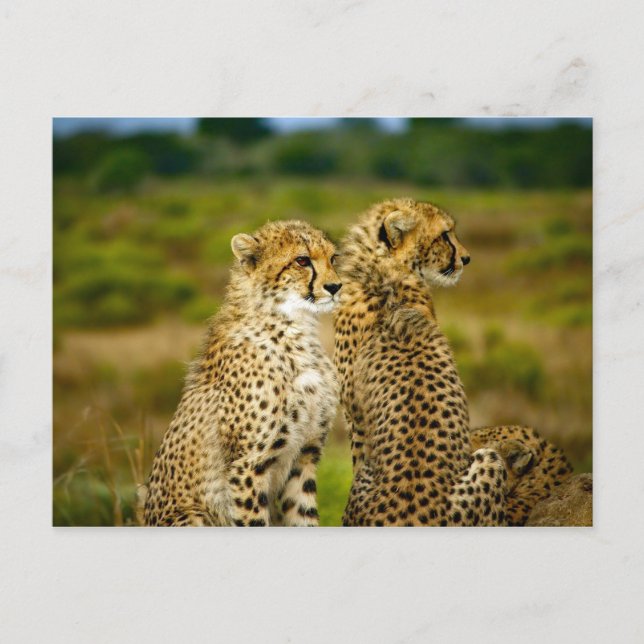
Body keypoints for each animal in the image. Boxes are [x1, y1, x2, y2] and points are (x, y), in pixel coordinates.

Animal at [140, 220, 342, 526]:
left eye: (333, 258)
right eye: (302, 261)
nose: (335, 286)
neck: (295, 328)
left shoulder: (305, 457)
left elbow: (304, 517)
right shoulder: (247, 465)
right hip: (194, 515)